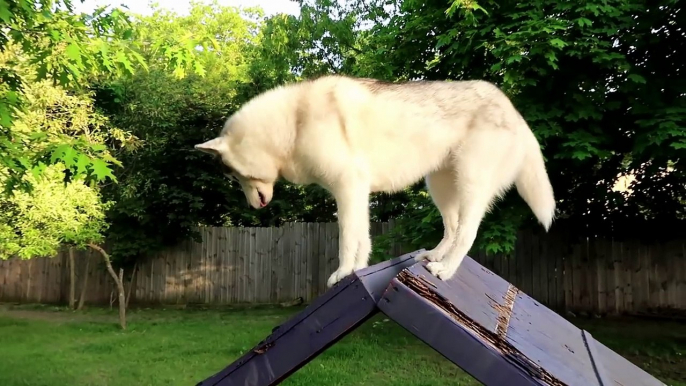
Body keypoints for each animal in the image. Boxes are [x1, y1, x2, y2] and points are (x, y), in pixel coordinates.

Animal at [195, 74, 560, 286]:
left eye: (233, 175)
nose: (252, 206)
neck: (293, 124)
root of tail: (510, 106)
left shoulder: (347, 188)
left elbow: (346, 239)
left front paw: (342, 273)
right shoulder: (355, 193)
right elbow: (362, 239)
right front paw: (356, 270)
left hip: (470, 183)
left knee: (467, 232)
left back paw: (445, 270)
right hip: (439, 186)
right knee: (453, 228)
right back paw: (434, 256)